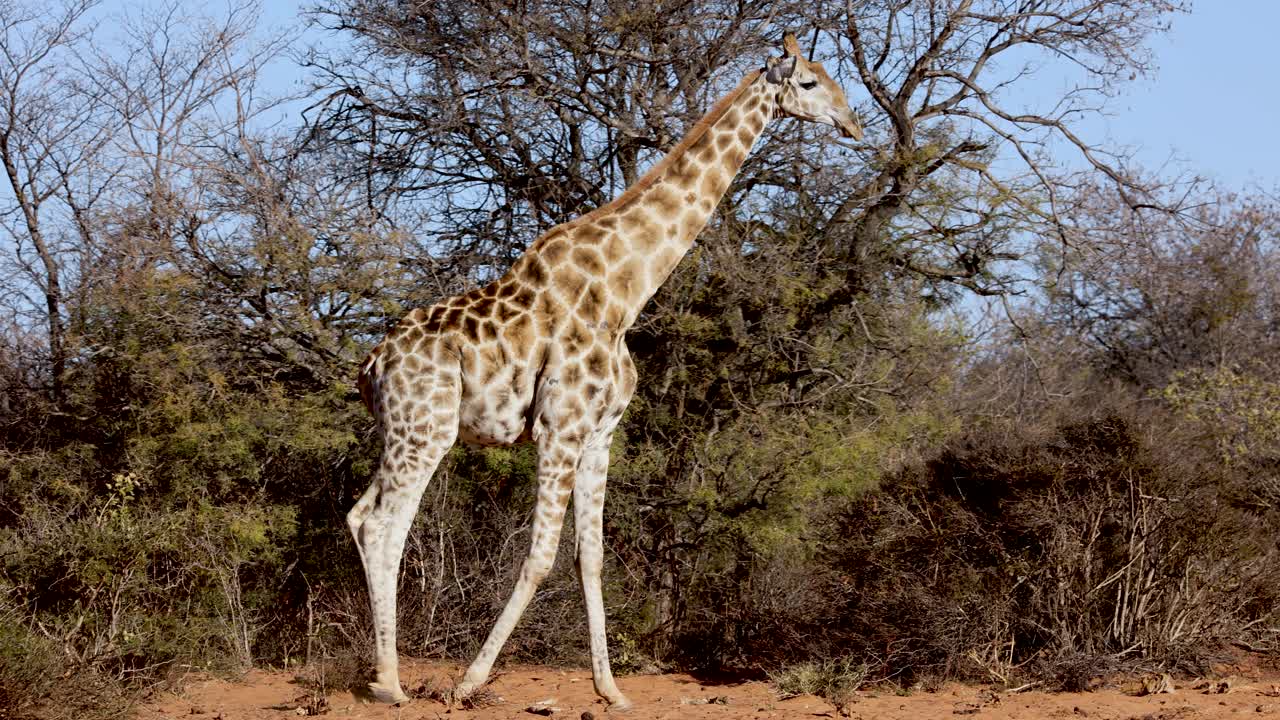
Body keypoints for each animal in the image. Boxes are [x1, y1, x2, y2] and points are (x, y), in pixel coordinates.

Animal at [348, 32, 862, 709]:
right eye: (808, 82)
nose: (853, 123)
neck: (627, 291)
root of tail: (373, 362)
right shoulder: (558, 429)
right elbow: (539, 558)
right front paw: (469, 681)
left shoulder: (600, 433)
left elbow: (589, 558)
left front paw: (610, 689)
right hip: (426, 429)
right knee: (384, 526)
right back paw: (389, 682)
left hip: (404, 430)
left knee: (362, 518)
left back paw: (383, 673)